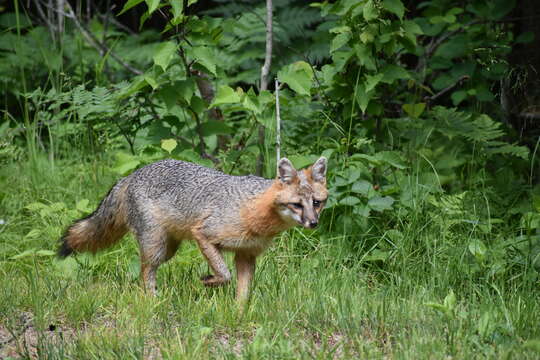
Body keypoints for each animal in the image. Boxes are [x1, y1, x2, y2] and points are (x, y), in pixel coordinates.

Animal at [59, 158, 330, 300]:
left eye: (317, 203)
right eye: (297, 205)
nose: (313, 223)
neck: (253, 209)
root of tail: (132, 174)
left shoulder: (246, 254)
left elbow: (243, 291)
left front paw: (239, 313)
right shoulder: (204, 234)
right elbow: (224, 274)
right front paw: (208, 281)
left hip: (168, 250)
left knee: (146, 269)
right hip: (156, 247)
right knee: (145, 271)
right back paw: (152, 300)